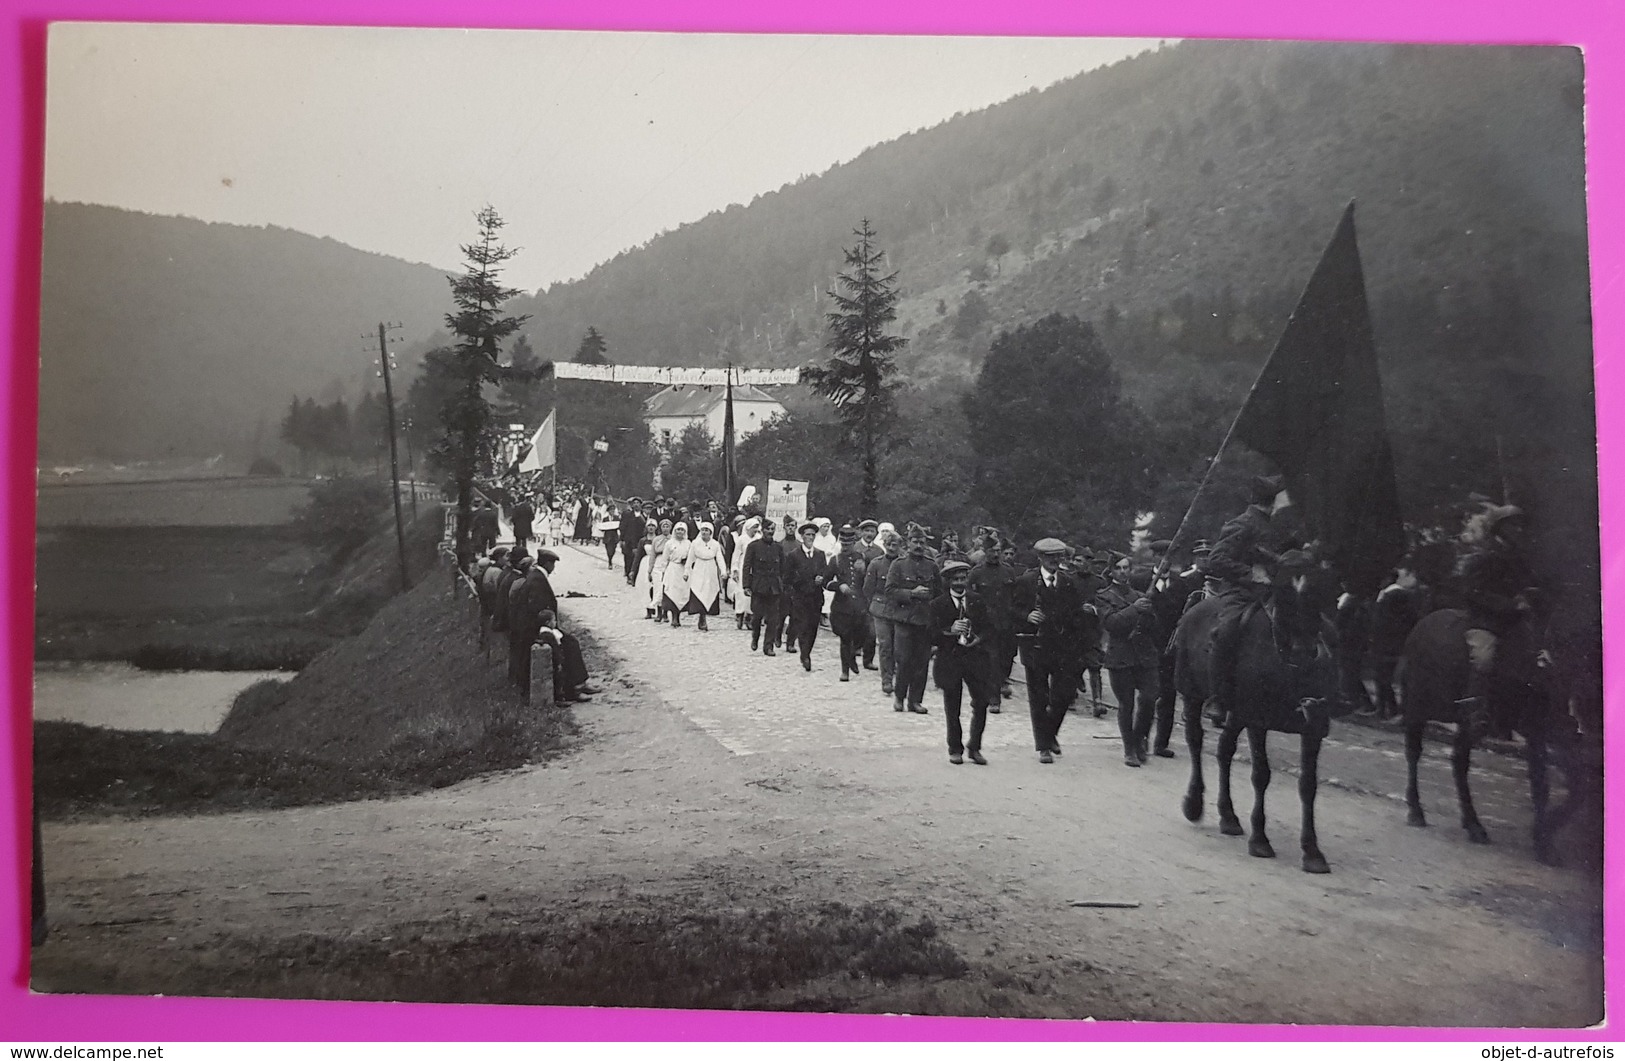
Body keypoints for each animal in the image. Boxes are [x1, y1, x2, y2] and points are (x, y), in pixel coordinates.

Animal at [1176, 588, 1339, 870]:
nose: (1307, 650)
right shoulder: (1257, 722)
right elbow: (1261, 775)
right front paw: (1260, 839)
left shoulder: (1314, 729)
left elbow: (1308, 785)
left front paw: (1312, 851)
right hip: (1193, 695)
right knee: (1195, 741)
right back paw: (1194, 803)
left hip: (1236, 714)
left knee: (1224, 750)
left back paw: (1228, 816)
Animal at [1391, 607, 1592, 864]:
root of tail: (1421, 625)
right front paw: (1542, 834)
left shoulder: (1541, 731)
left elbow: (1558, 785)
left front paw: (1542, 840)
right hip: (1420, 707)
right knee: (1414, 753)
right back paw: (1417, 811)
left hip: (1463, 722)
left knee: (1458, 763)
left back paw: (1472, 824)